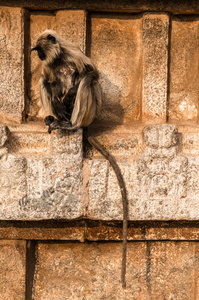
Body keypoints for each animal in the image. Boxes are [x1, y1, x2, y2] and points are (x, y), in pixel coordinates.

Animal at [31, 30, 127, 288]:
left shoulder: (72, 51)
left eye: (39, 50)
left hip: (90, 111)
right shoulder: (49, 65)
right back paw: (54, 119)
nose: (38, 56)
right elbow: (48, 80)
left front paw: (72, 92)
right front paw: (57, 97)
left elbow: (92, 72)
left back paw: (72, 124)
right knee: (44, 81)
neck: (58, 58)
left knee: (87, 81)